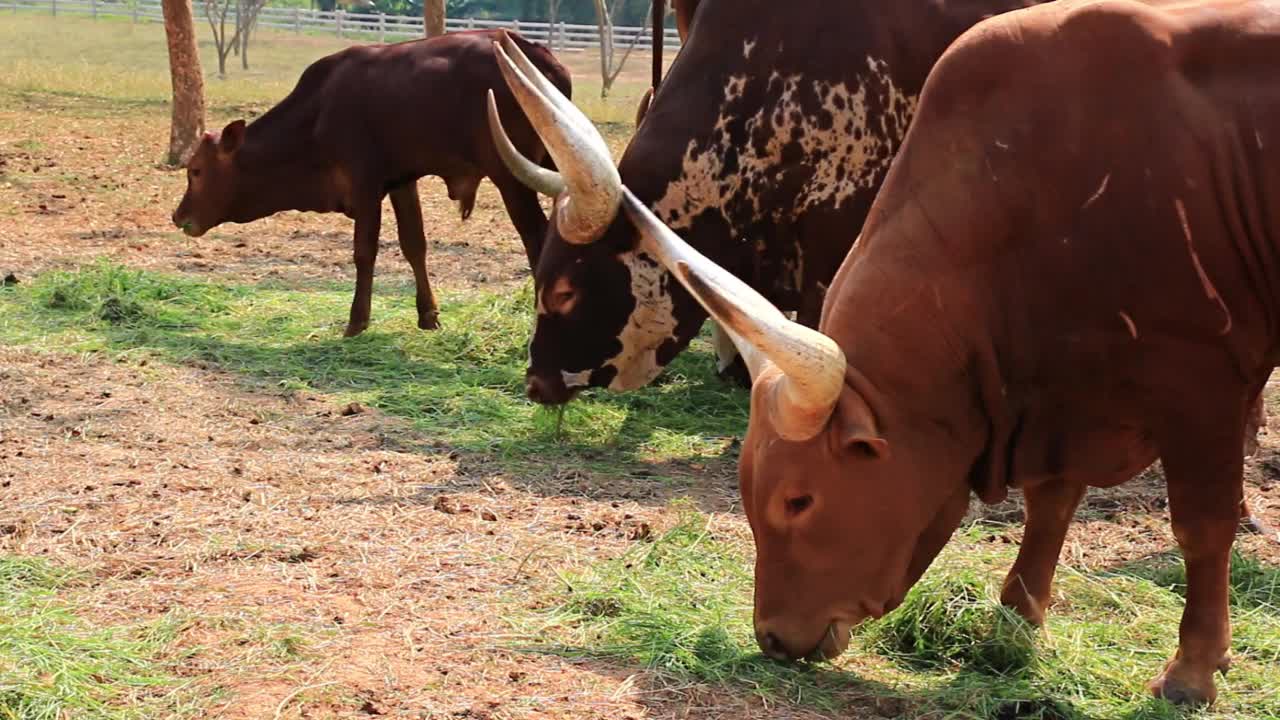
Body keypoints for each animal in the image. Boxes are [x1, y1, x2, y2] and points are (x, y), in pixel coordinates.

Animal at [171, 30, 570, 335]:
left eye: (197, 171)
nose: (178, 217)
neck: (317, 113)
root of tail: (538, 54)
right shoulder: (401, 182)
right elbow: (414, 245)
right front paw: (428, 315)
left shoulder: (364, 185)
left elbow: (364, 252)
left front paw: (356, 322)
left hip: (513, 177)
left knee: (537, 239)